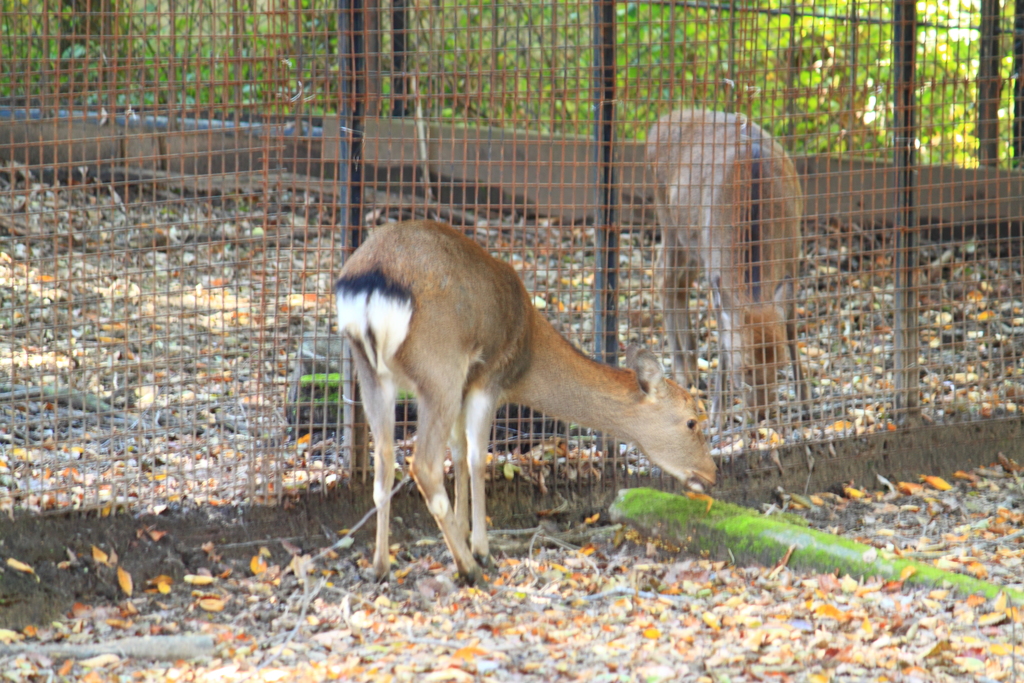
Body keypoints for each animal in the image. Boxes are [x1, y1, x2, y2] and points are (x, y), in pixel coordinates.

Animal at [333, 222, 712, 585]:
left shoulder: (467, 387)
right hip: (438, 368)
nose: (711, 474)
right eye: (692, 421)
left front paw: (463, 534)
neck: (528, 357)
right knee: (423, 465)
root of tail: (370, 285)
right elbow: (477, 458)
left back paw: (381, 568)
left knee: (383, 461)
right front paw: (480, 549)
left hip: (371, 373)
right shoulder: (488, 379)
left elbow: (458, 454)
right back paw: (471, 570)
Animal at [647, 111, 806, 432]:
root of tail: (657, 123)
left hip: (691, 243)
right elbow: (721, 340)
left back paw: (693, 369)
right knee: (664, 278)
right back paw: (682, 371)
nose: (762, 414)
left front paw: (805, 402)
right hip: (667, 218)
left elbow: (790, 323)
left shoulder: (793, 254)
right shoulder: (716, 267)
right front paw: (717, 417)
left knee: (679, 282)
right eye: (744, 369)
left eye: (779, 366)